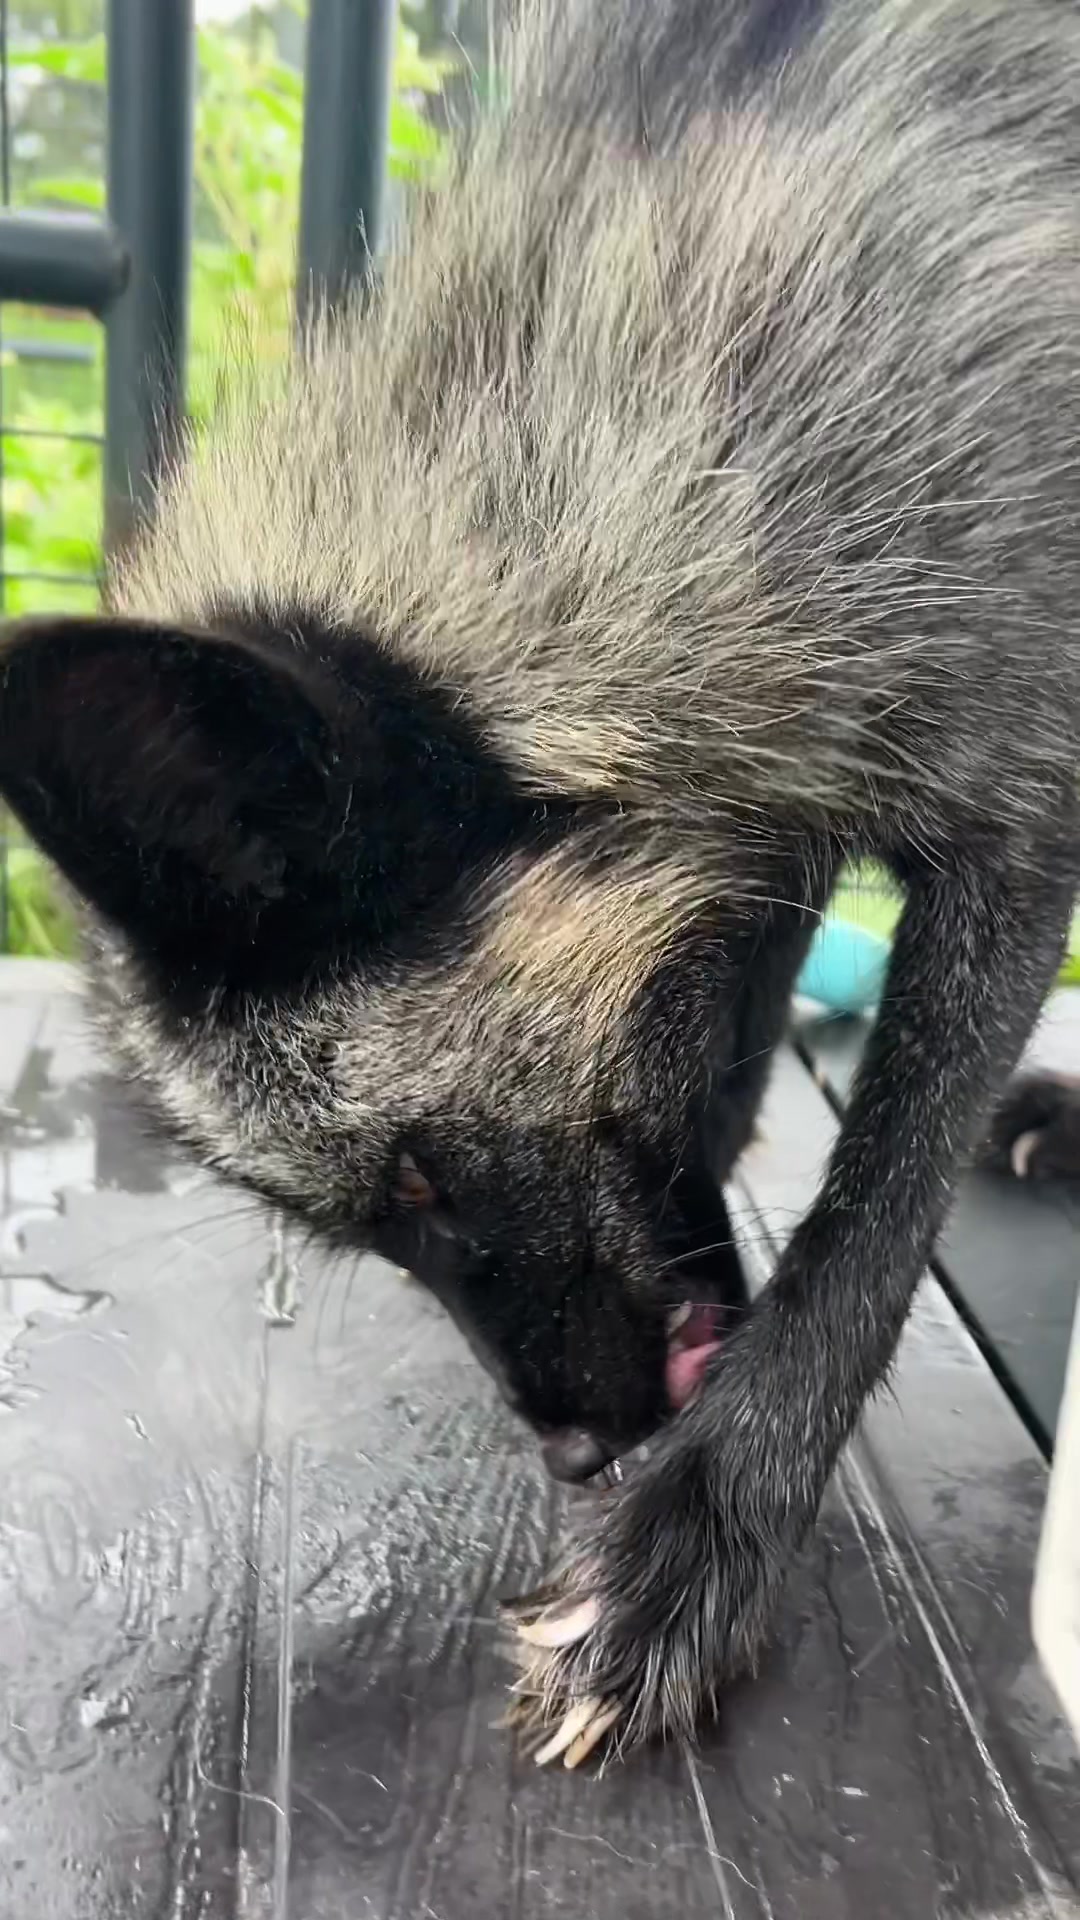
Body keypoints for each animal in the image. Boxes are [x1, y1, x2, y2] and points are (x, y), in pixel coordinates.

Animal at [1, 0, 1078, 1769]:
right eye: (372, 1220)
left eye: (425, 1178)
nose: (576, 1462)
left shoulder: (1017, 811)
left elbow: (869, 1217)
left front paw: (705, 1539)